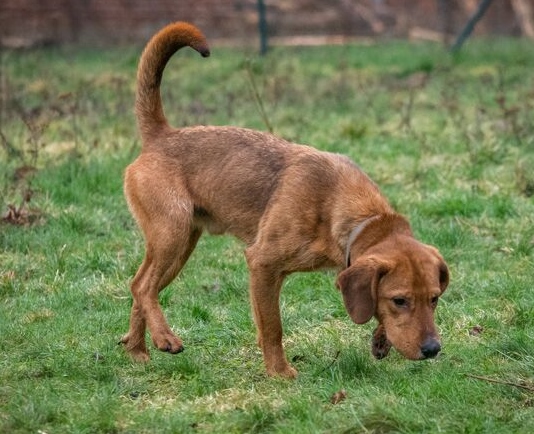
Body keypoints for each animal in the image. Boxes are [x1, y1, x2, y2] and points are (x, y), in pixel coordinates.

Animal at [120, 22, 449, 378]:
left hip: (180, 248)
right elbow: (272, 327)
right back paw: (164, 338)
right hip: (172, 235)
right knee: (141, 287)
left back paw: (137, 350)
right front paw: (280, 373)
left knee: (142, 288)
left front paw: (380, 339)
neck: (348, 214)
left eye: (434, 299)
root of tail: (161, 135)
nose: (433, 350)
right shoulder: (262, 264)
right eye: (399, 300)